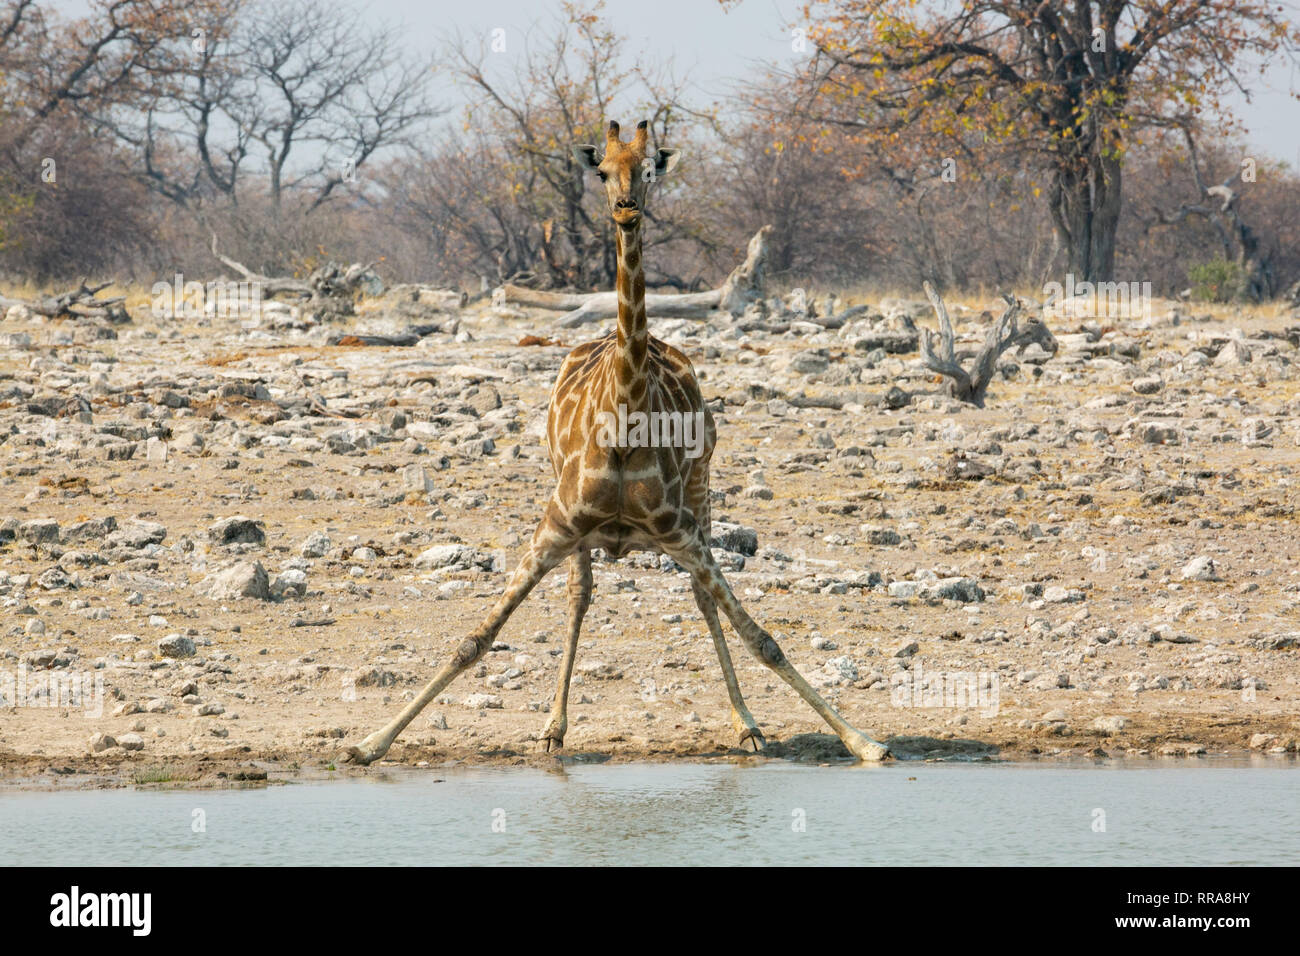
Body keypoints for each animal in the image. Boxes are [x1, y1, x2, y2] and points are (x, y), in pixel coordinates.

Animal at [343, 119, 894, 764]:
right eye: (602, 171)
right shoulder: (554, 524)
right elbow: (475, 639)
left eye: (649, 168)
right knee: (580, 596)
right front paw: (369, 743)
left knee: (702, 600)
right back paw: (554, 727)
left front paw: (864, 742)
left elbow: (761, 637)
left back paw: (745, 726)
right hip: (580, 524)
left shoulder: (680, 529)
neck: (626, 412)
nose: (627, 209)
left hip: (702, 491)